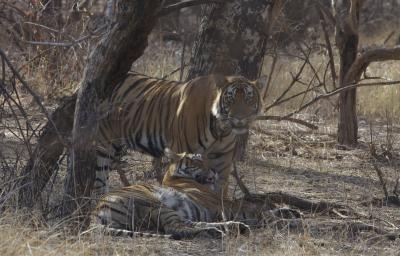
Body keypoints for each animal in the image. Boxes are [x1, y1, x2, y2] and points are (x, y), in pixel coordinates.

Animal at [94, 149, 300, 239]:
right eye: (198, 160)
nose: (215, 170)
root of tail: (97, 210)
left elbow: (265, 208)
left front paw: (292, 213)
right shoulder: (224, 204)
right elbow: (259, 211)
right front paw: (289, 221)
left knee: (192, 224)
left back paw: (231, 228)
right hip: (153, 203)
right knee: (175, 229)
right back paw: (227, 229)